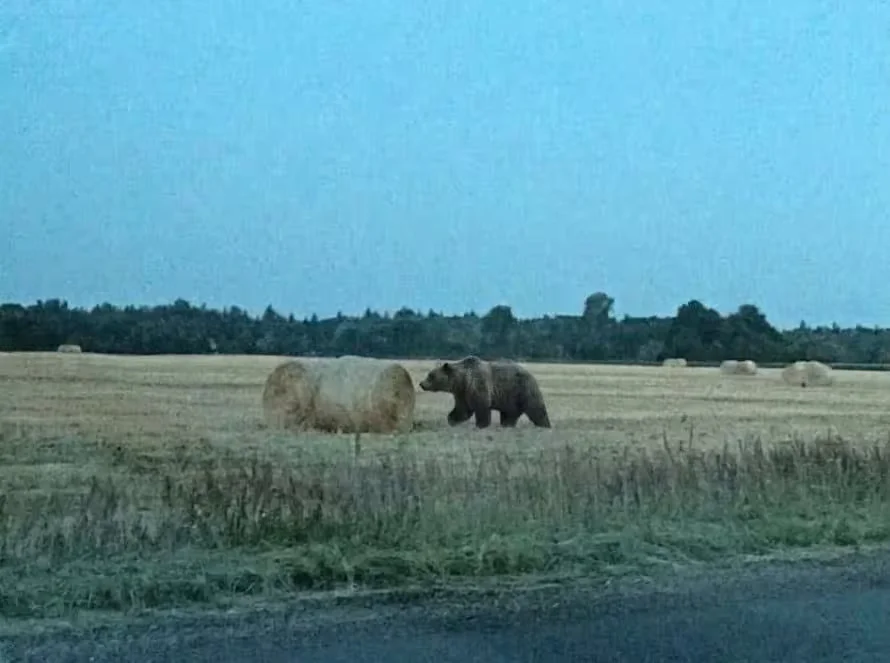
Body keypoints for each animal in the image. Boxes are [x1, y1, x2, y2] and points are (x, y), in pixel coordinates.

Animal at [418, 355, 552, 429]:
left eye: (431, 376)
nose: (421, 384)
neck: (462, 380)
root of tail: (529, 373)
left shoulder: (478, 385)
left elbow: (481, 407)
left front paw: (481, 425)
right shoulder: (462, 393)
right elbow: (462, 410)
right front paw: (452, 419)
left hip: (523, 389)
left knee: (536, 408)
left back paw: (545, 425)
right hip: (510, 399)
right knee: (510, 414)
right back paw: (507, 425)